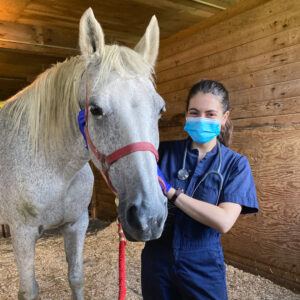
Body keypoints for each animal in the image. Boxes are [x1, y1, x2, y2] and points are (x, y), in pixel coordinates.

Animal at [0, 8, 168, 298]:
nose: (150, 217)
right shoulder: (23, 233)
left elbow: (76, 277)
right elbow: (29, 290)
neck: (57, 170)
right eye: (96, 109)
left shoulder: (77, 224)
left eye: (160, 109)